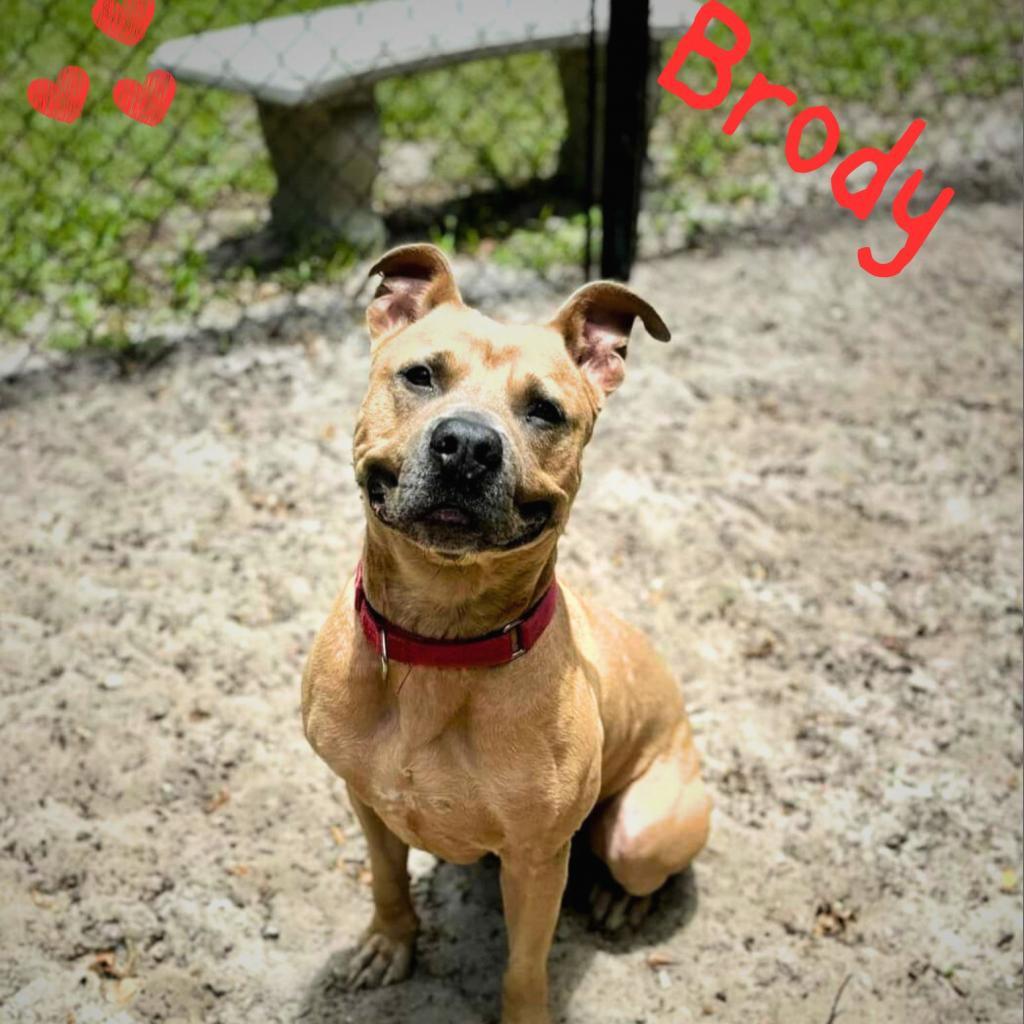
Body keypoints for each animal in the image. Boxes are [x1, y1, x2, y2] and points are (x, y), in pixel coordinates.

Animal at [299, 245, 708, 1024]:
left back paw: (620, 899)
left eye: (545, 410)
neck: (439, 641)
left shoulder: (538, 859)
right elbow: (387, 882)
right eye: (421, 375)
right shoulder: (366, 801)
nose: (465, 446)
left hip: (642, 832)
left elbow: (524, 964)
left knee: (642, 867)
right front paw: (389, 943)